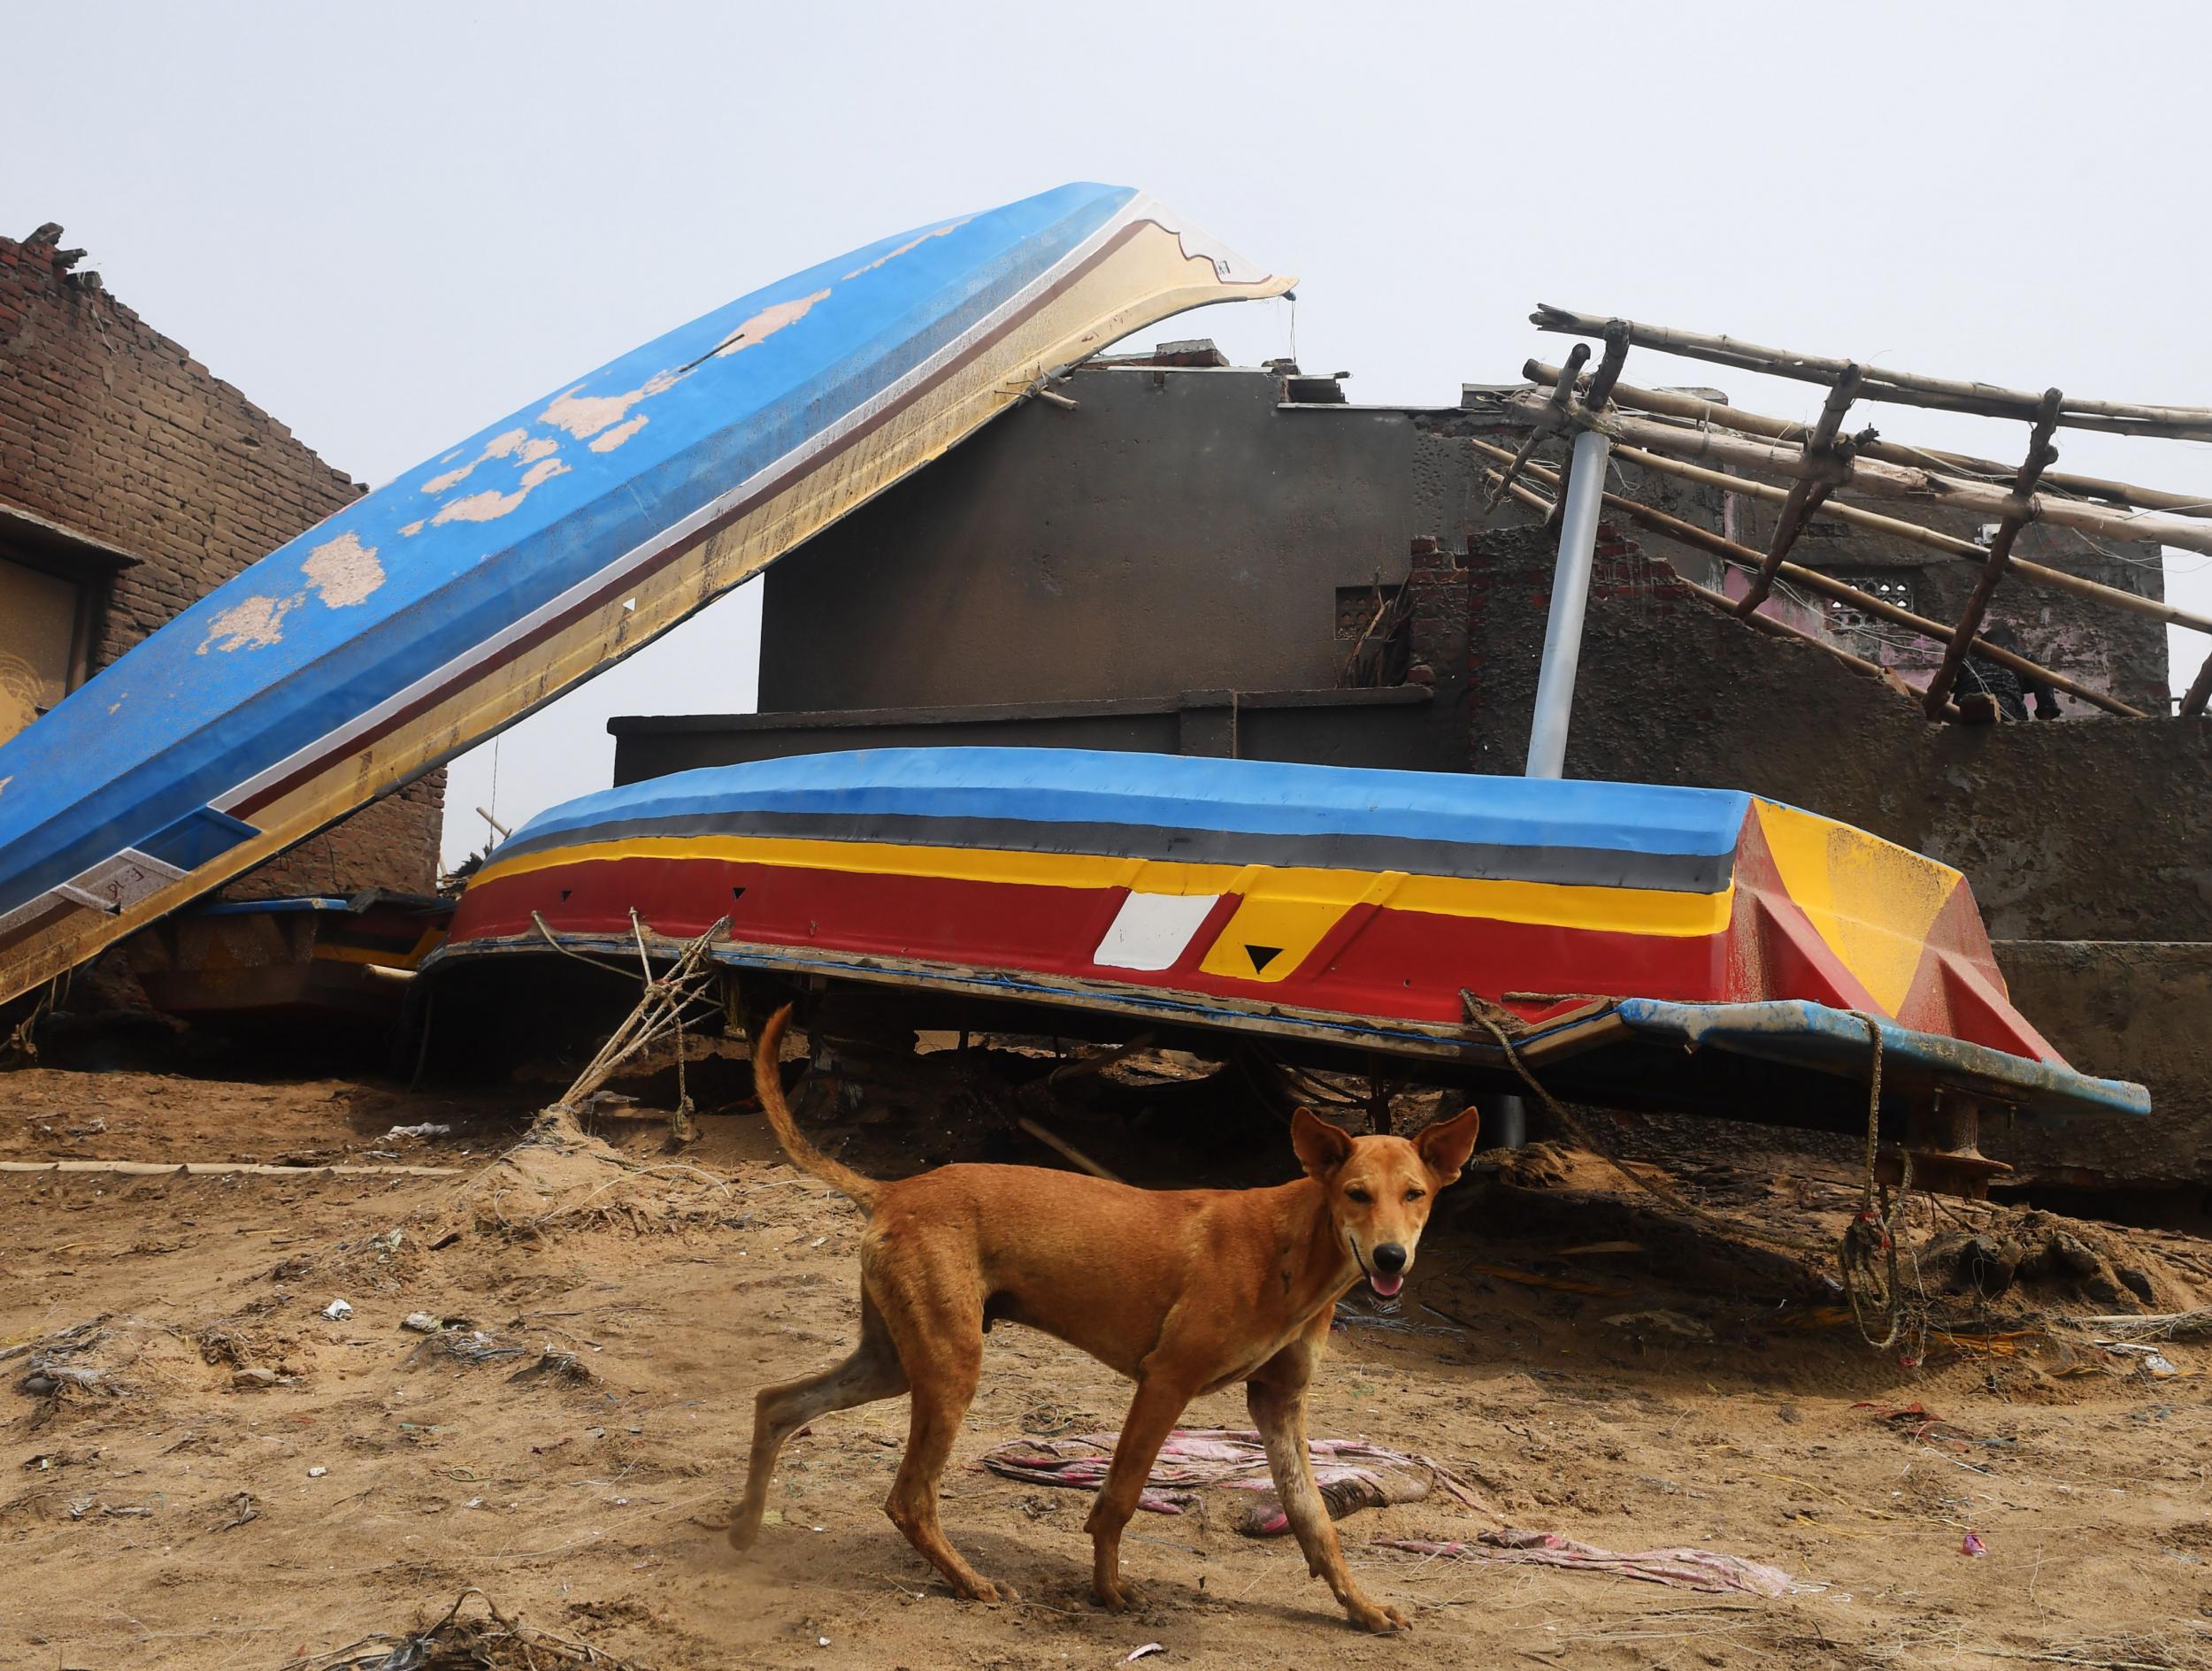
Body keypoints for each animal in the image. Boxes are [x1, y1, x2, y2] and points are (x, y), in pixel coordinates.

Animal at [734, 1003, 1478, 1636]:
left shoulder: (1278, 1404)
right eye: (1356, 1194)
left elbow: (1315, 1520)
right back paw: (971, 1583)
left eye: (1415, 1194)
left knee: (777, 1401)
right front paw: (1107, 1591)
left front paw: (1362, 1606)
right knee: (908, 1497)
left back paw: (745, 1524)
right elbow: (1118, 1498)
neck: (1295, 1248)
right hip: (949, 1368)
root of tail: (892, 1188)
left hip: (893, 1359)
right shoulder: (1166, 1381)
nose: (1391, 1256)